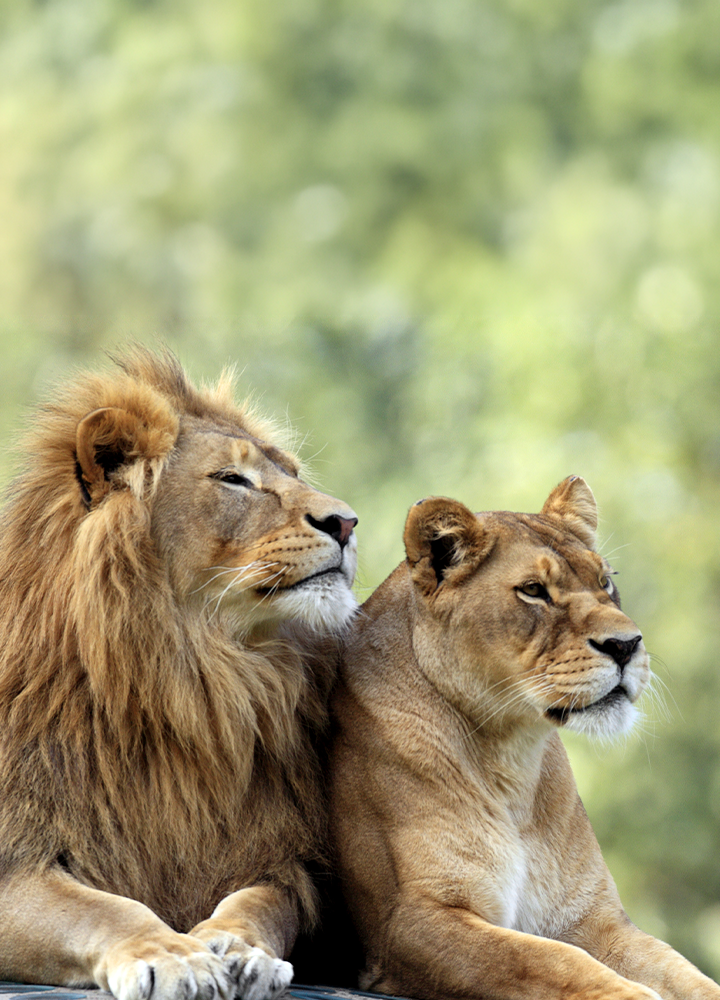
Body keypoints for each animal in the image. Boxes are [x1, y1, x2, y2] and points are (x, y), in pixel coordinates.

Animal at [0, 348, 358, 1000]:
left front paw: (239, 947)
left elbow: (261, 903)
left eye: (293, 472)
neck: (191, 680)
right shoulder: (15, 855)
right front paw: (173, 955)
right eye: (233, 480)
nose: (347, 522)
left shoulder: (281, 859)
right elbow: (104, 908)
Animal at [328, 478, 719, 1000]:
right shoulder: (409, 922)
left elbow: (685, 973)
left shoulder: (594, 919)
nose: (627, 645)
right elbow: (549, 960)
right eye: (534, 591)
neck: (511, 755)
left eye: (605, 582)